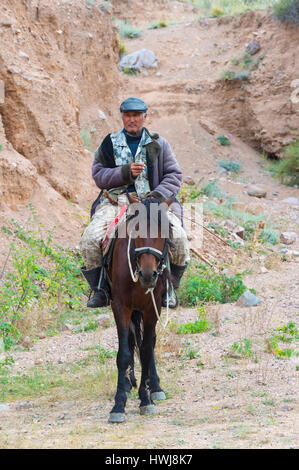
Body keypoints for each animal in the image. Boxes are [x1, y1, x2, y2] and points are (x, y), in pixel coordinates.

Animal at [108, 196, 173, 424]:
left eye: (165, 231)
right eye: (135, 230)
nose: (147, 275)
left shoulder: (152, 309)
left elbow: (146, 350)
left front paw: (146, 399)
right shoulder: (120, 306)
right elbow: (124, 354)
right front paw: (119, 404)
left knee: (149, 343)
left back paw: (154, 386)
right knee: (131, 340)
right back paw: (130, 383)